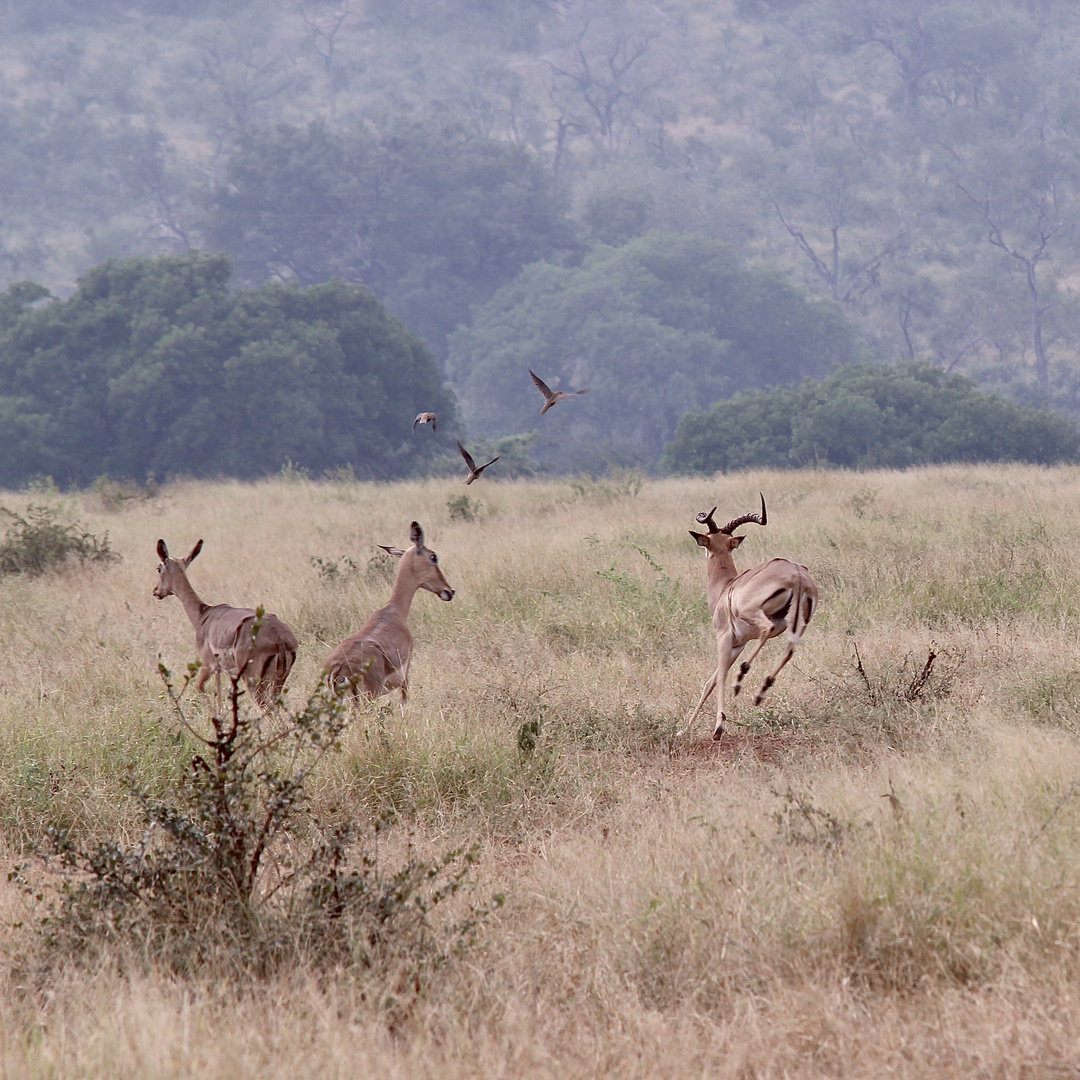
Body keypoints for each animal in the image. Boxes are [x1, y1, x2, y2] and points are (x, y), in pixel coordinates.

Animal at [151, 537, 295, 708]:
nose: (156, 591)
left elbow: (207, 691)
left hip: (255, 683)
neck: (203, 615)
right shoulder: (228, 673)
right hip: (277, 682)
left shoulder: (210, 666)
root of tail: (280, 639)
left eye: (159, 568)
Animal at [682, 496, 816, 743]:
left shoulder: (724, 637)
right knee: (790, 650)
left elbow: (719, 677)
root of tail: (797, 574)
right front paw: (683, 729)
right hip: (797, 625)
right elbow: (710, 681)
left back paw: (741, 678)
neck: (725, 588)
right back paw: (761, 690)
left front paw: (718, 728)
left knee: (767, 629)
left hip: (756, 614)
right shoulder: (739, 644)